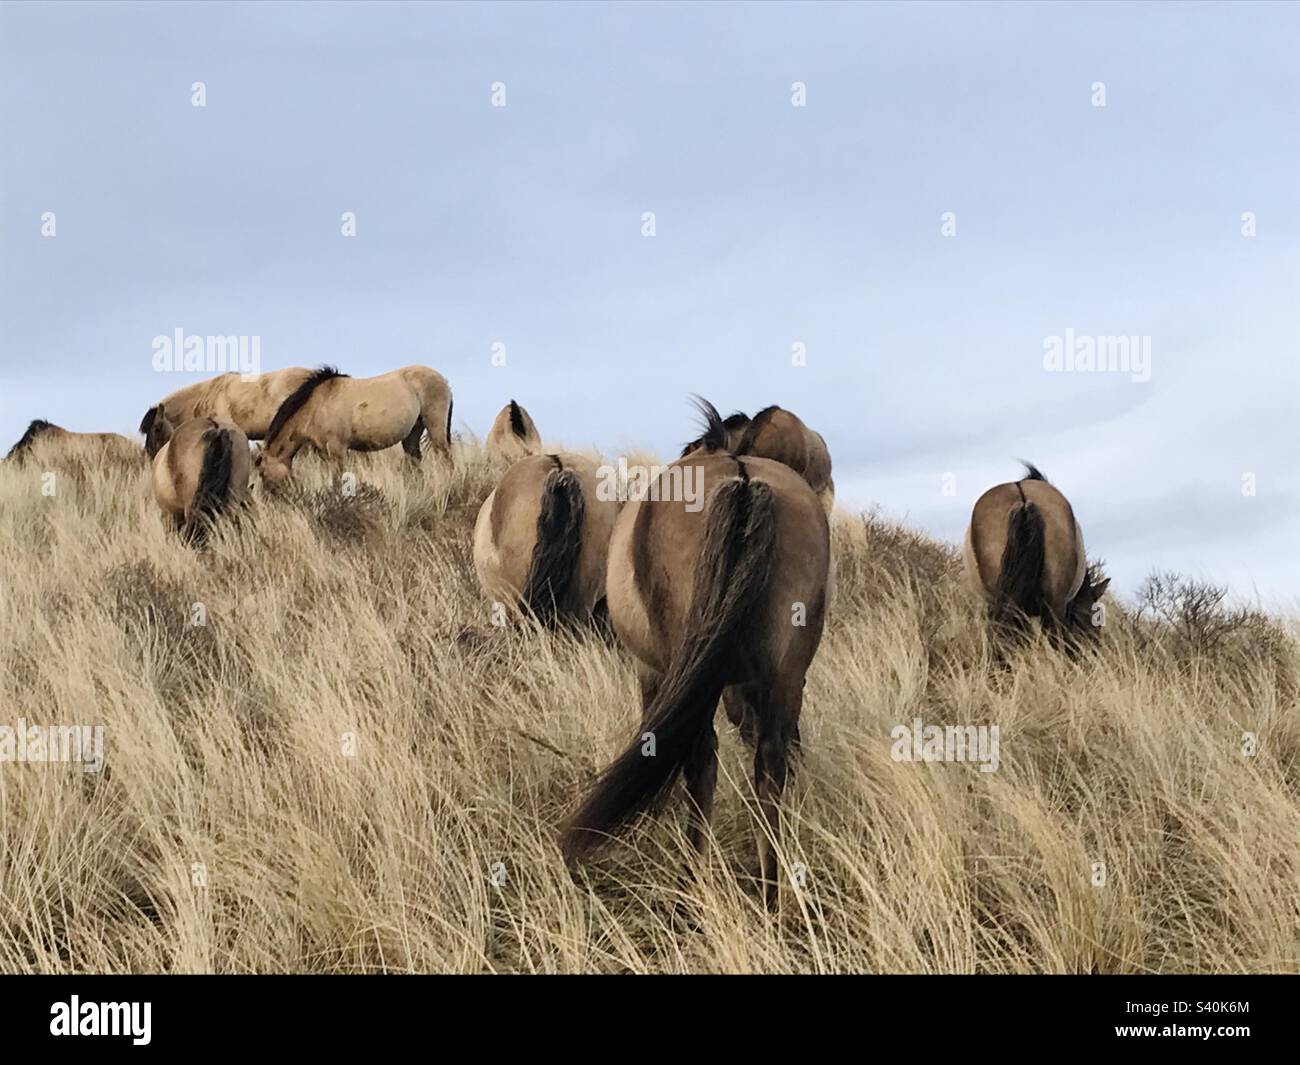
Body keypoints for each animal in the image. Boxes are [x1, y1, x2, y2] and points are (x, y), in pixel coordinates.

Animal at [255, 365, 453, 483]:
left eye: (263, 473)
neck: (317, 404)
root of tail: (444, 380)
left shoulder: (337, 449)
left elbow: (338, 479)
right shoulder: (324, 452)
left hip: (435, 426)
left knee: (445, 456)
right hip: (413, 432)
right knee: (415, 460)